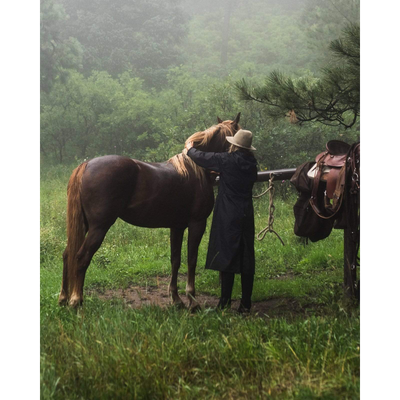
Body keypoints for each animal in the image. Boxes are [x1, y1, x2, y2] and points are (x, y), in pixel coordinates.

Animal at [58, 112, 241, 310]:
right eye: (238, 132)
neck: (195, 170)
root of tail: (86, 165)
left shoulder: (177, 227)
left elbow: (175, 260)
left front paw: (176, 299)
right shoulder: (197, 224)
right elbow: (191, 260)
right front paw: (192, 301)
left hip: (84, 225)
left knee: (67, 254)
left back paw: (63, 298)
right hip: (99, 227)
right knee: (81, 257)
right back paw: (76, 300)